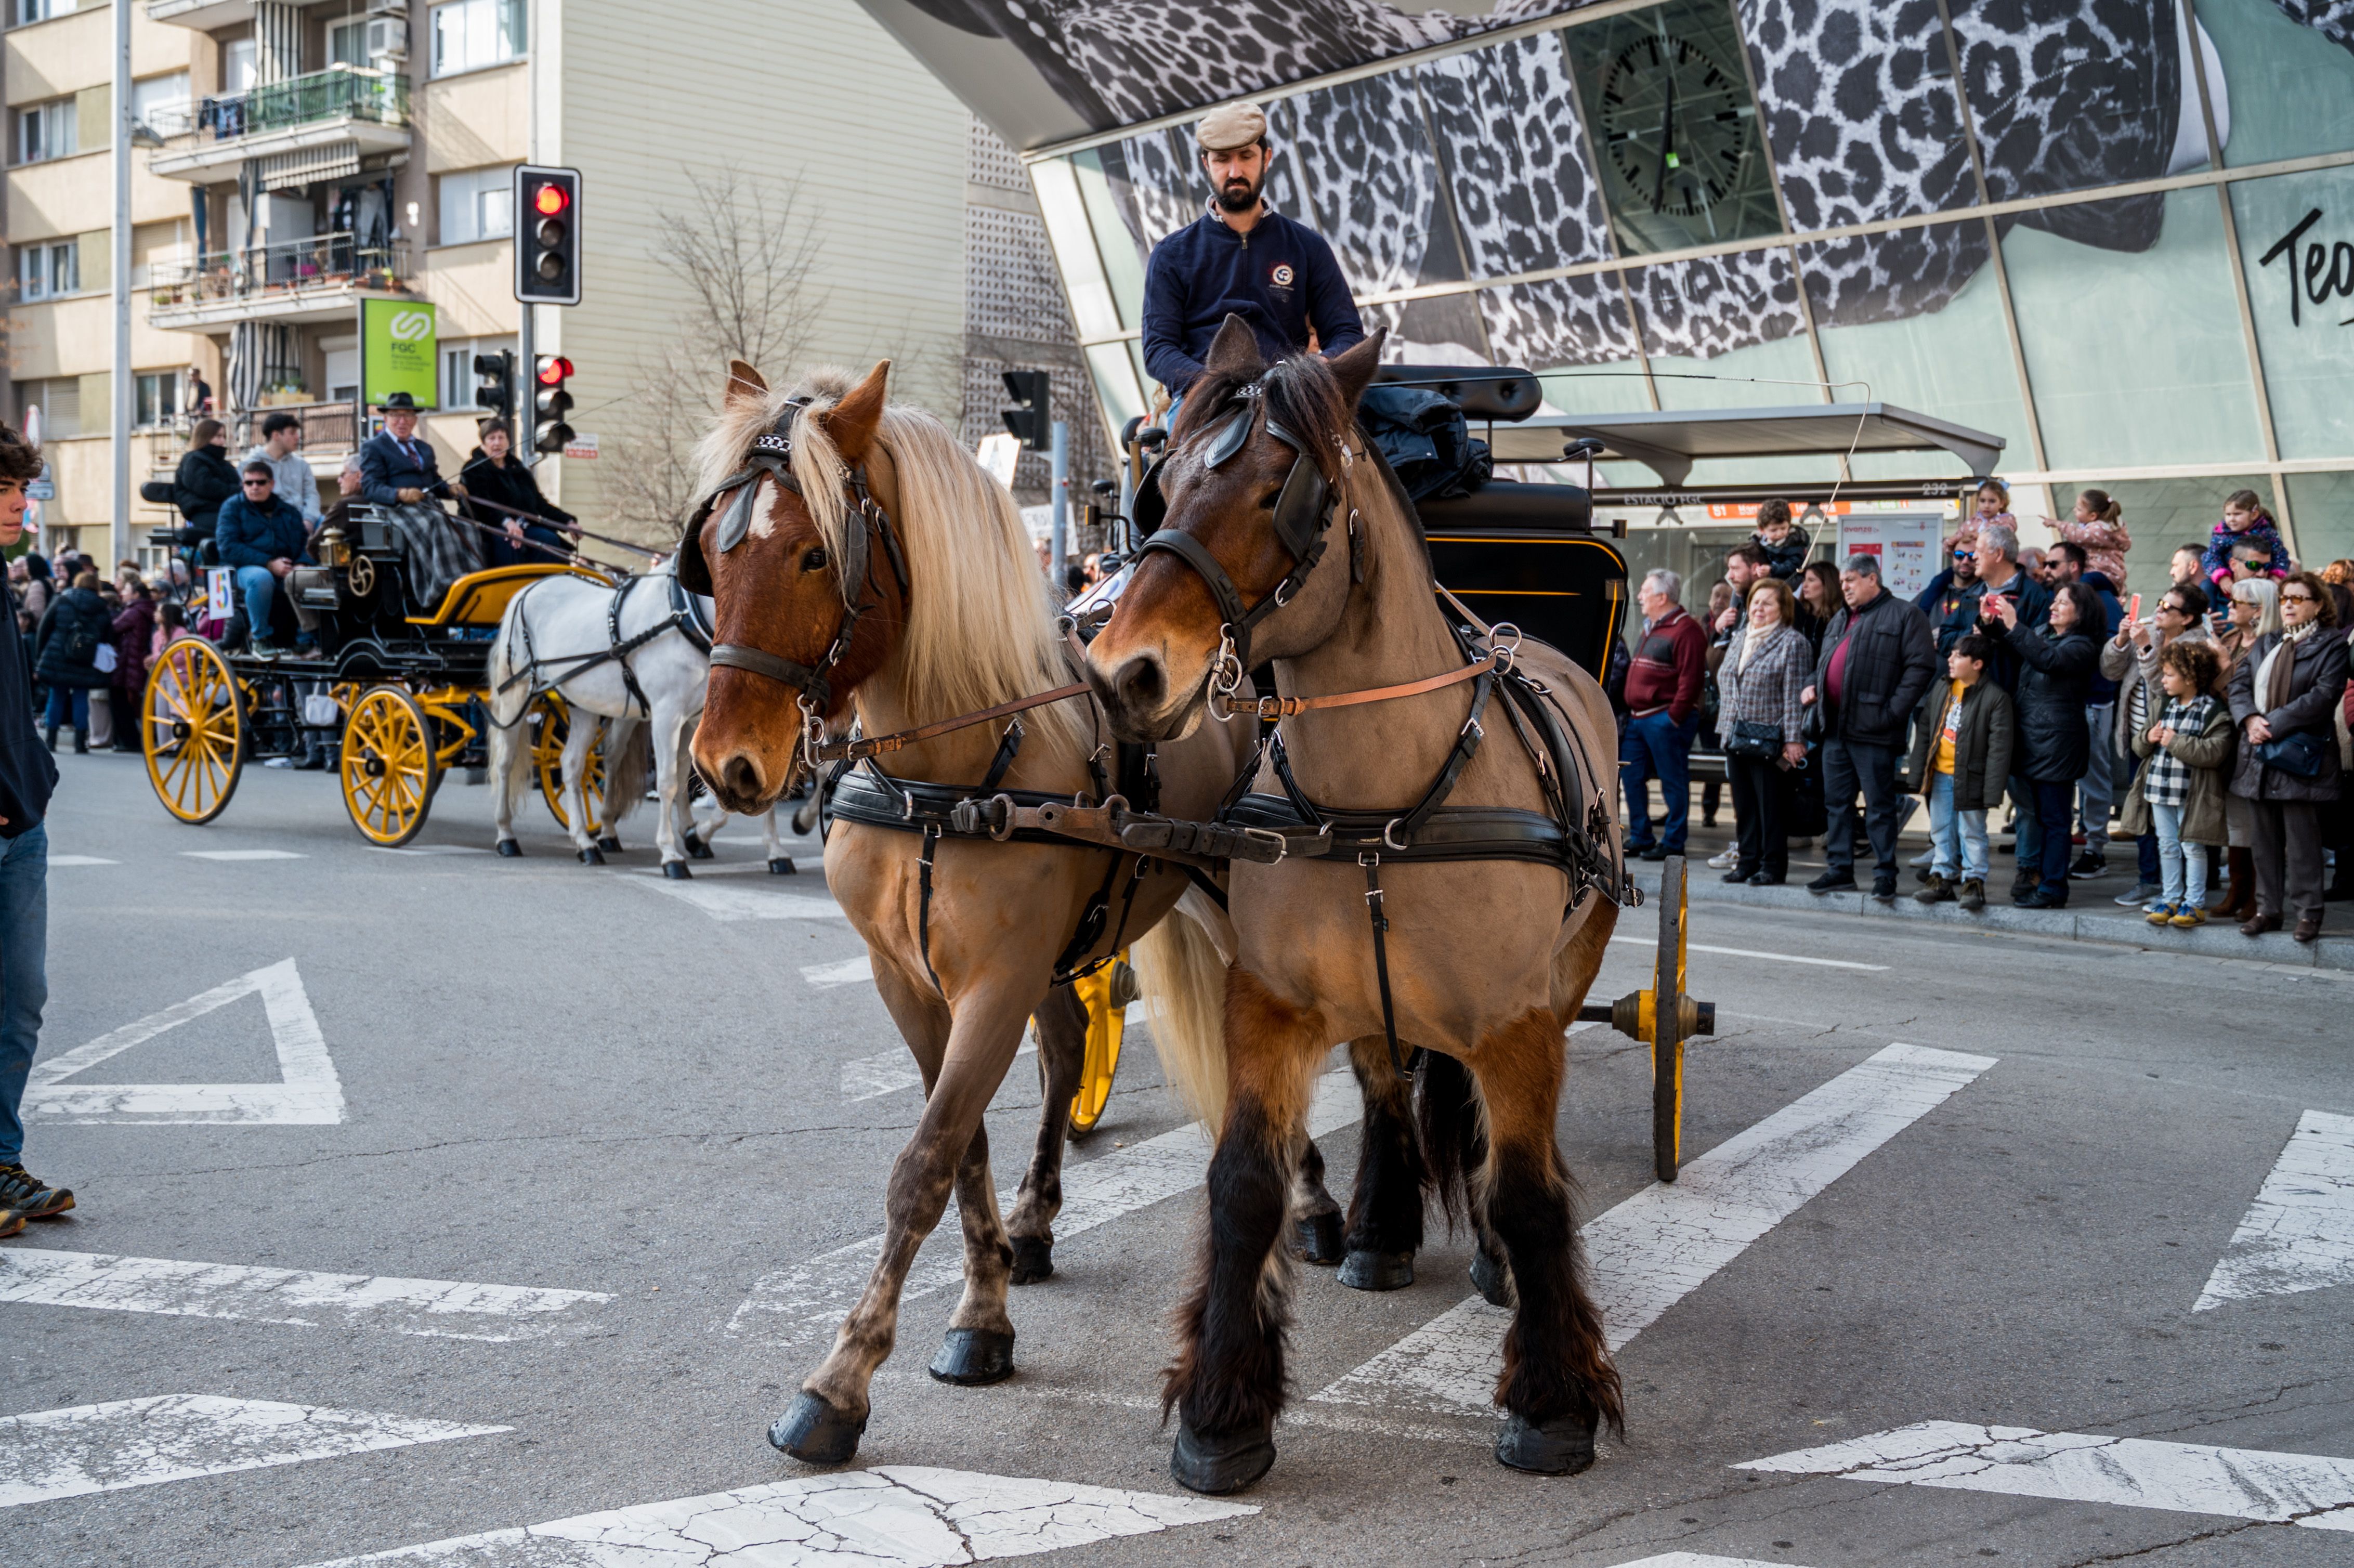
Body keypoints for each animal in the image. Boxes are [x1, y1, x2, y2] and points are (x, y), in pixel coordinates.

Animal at [489, 555, 800, 871]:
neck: (686, 615)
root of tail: (527, 589)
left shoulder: (699, 720)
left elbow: (697, 777)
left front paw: (764, 849)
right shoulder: (667, 714)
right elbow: (668, 782)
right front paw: (671, 853)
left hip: (584, 708)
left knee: (573, 764)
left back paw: (587, 842)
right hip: (515, 697)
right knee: (505, 762)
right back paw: (506, 835)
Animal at [687, 358, 1309, 1469]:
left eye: (812, 553)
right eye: (715, 548)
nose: (727, 763)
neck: (952, 768)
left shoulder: (995, 979)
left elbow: (922, 1164)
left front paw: (840, 1381)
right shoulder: (913, 982)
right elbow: (966, 1140)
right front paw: (982, 1309)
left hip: (1242, 906)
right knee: (1065, 1052)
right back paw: (1038, 1222)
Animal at [1087, 320, 1629, 1488]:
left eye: (1275, 489)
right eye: (1161, 489)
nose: (1121, 672)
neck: (1380, 800)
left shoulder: (1517, 1020)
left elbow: (1527, 1188)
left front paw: (1552, 1398)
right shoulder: (1268, 1003)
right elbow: (1244, 1182)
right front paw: (1222, 1408)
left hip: (1568, 973)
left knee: (1489, 1137)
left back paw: (1490, 1262)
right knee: (1387, 1087)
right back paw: (1381, 1229)